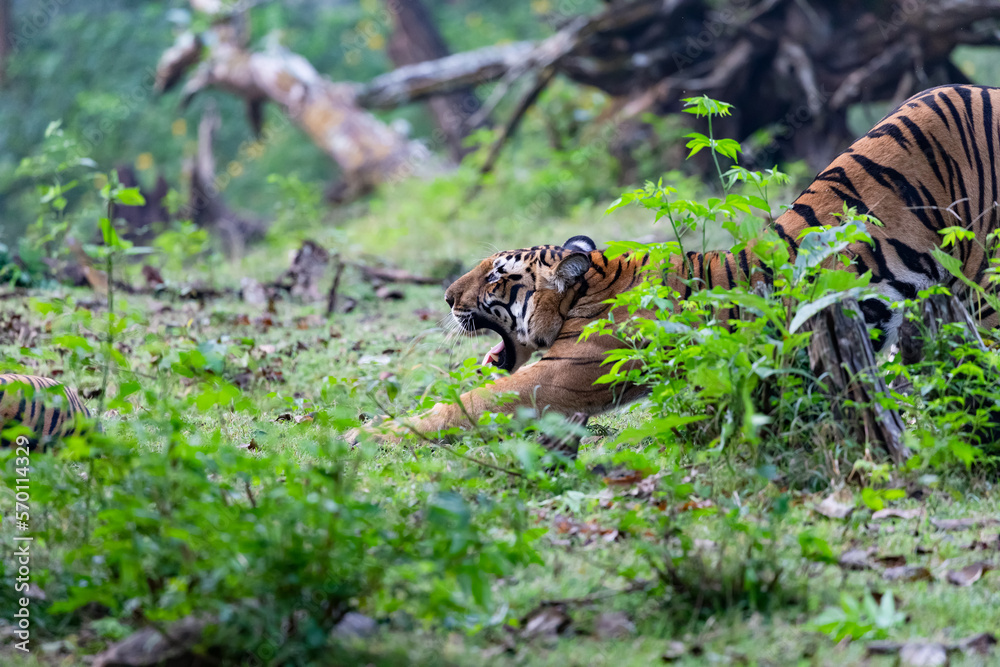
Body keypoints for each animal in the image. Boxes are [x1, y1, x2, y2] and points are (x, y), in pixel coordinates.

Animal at [359, 83, 1000, 440]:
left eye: (495, 274)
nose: (446, 298)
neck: (591, 288)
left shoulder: (562, 376)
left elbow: (462, 406)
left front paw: (366, 437)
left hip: (983, 281)